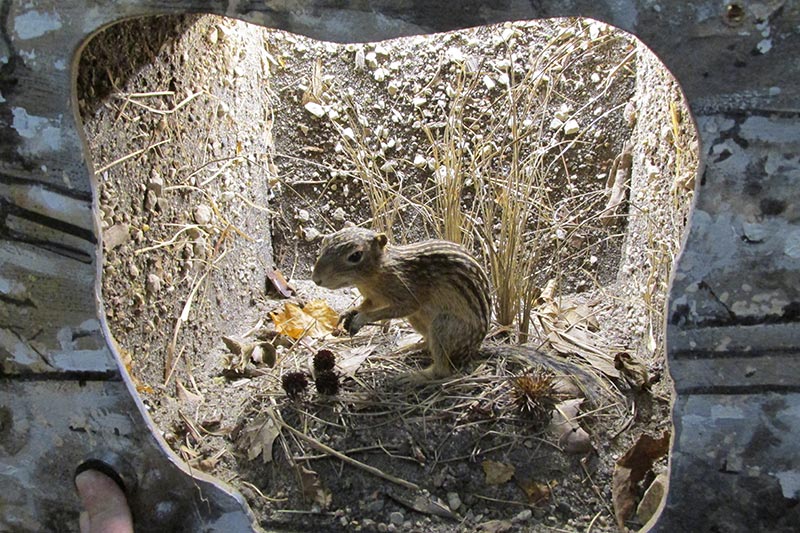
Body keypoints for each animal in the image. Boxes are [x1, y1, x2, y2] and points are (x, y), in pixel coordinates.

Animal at [312, 227, 597, 393]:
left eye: (355, 256)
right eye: (323, 243)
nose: (316, 279)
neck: (376, 273)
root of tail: (475, 350)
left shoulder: (407, 296)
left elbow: (387, 310)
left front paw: (362, 319)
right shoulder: (373, 296)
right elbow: (366, 304)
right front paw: (349, 313)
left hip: (442, 324)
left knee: (444, 371)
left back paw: (415, 377)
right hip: (420, 321)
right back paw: (412, 346)